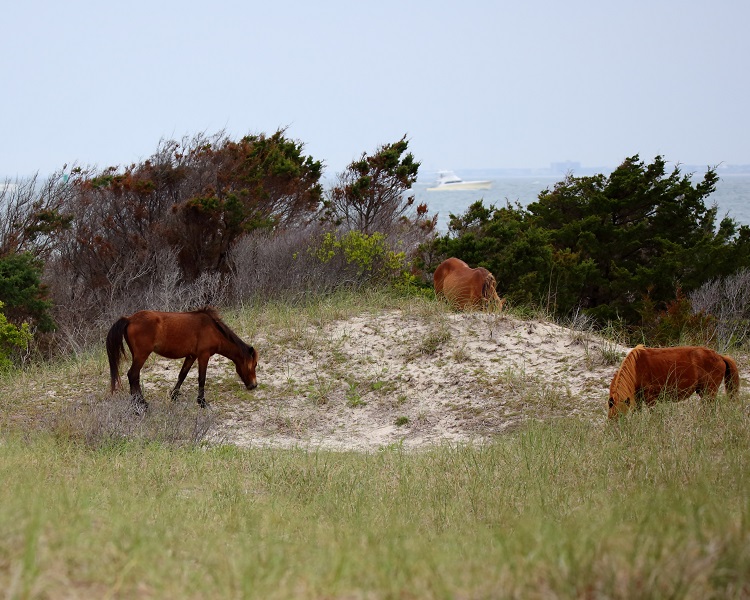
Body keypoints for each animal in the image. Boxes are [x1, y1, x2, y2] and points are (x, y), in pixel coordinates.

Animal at [106, 308, 258, 410]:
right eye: (254, 364)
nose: (254, 385)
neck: (212, 329)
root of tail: (130, 318)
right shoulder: (203, 355)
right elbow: (201, 378)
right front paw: (202, 402)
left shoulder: (191, 356)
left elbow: (182, 375)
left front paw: (174, 396)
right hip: (142, 355)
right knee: (132, 375)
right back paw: (140, 405)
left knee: (135, 376)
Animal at [608, 344, 744, 420]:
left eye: (618, 414)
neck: (636, 367)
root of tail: (720, 356)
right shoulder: (638, 397)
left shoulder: (650, 397)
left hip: (709, 391)